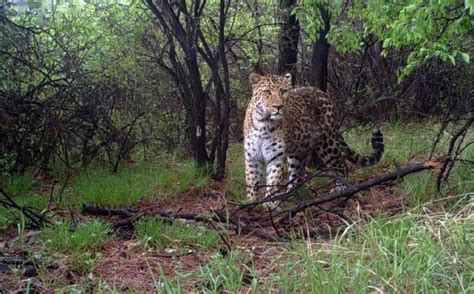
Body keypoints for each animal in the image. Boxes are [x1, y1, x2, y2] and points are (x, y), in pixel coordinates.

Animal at [243, 73, 384, 207]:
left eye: (284, 91)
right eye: (267, 92)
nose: (278, 106)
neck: (264, 124)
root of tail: (322, 93)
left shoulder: (276, 157)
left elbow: (273, 181)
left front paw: (270, 203)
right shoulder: (252, 156)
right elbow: (251, 180)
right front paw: (251, 201)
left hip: (328, 144)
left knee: (342, 165)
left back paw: (341, 188)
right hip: (299, 152)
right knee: (297, 173)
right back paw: (291, 194)